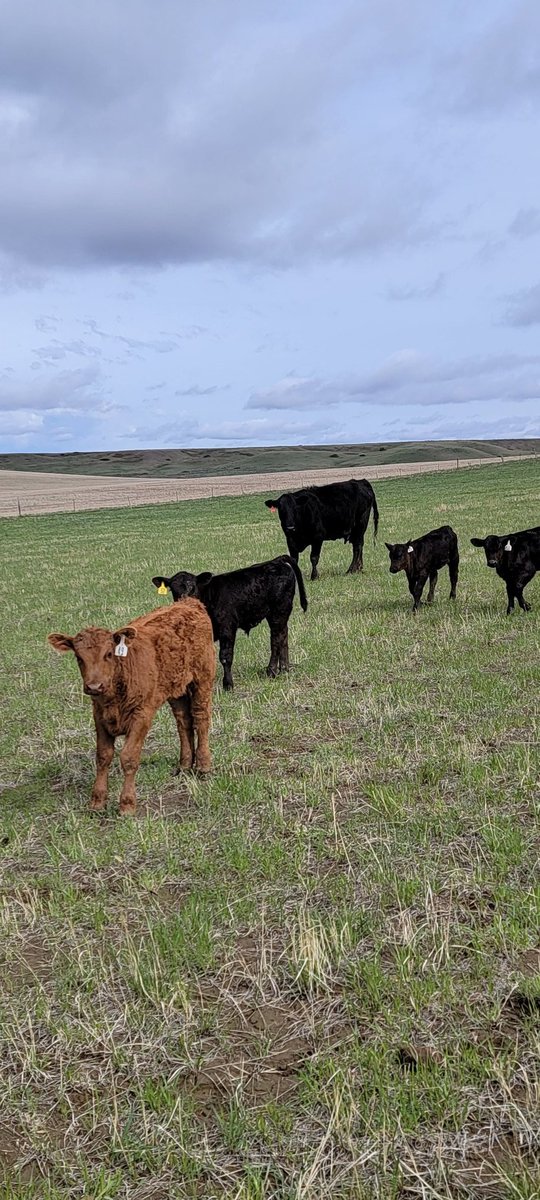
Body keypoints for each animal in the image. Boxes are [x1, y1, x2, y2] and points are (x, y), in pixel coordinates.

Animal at [48, 600, 215, 815]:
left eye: (109, 654)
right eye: (78, 657)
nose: (94, 686)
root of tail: (189, 603)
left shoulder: (142, 715)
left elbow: (128, 757)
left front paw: (127, 805)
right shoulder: (99, 717)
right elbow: (103, 756)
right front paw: (97, 802)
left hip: (203, 679)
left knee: (201, 718)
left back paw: (203, 766)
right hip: (176, 690)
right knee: (183, 721)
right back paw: (185, 766)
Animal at [152, 555, 307, 691]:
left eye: (192, 587)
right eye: (173, 589)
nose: (184, 602)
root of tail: (276, 561)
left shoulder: (227, 627)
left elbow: (225, 657)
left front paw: (228, 685)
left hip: (278, 611)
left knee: (276, 639)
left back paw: (272, 671)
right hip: (280, 614)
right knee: (284, 635)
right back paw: (285, 669)